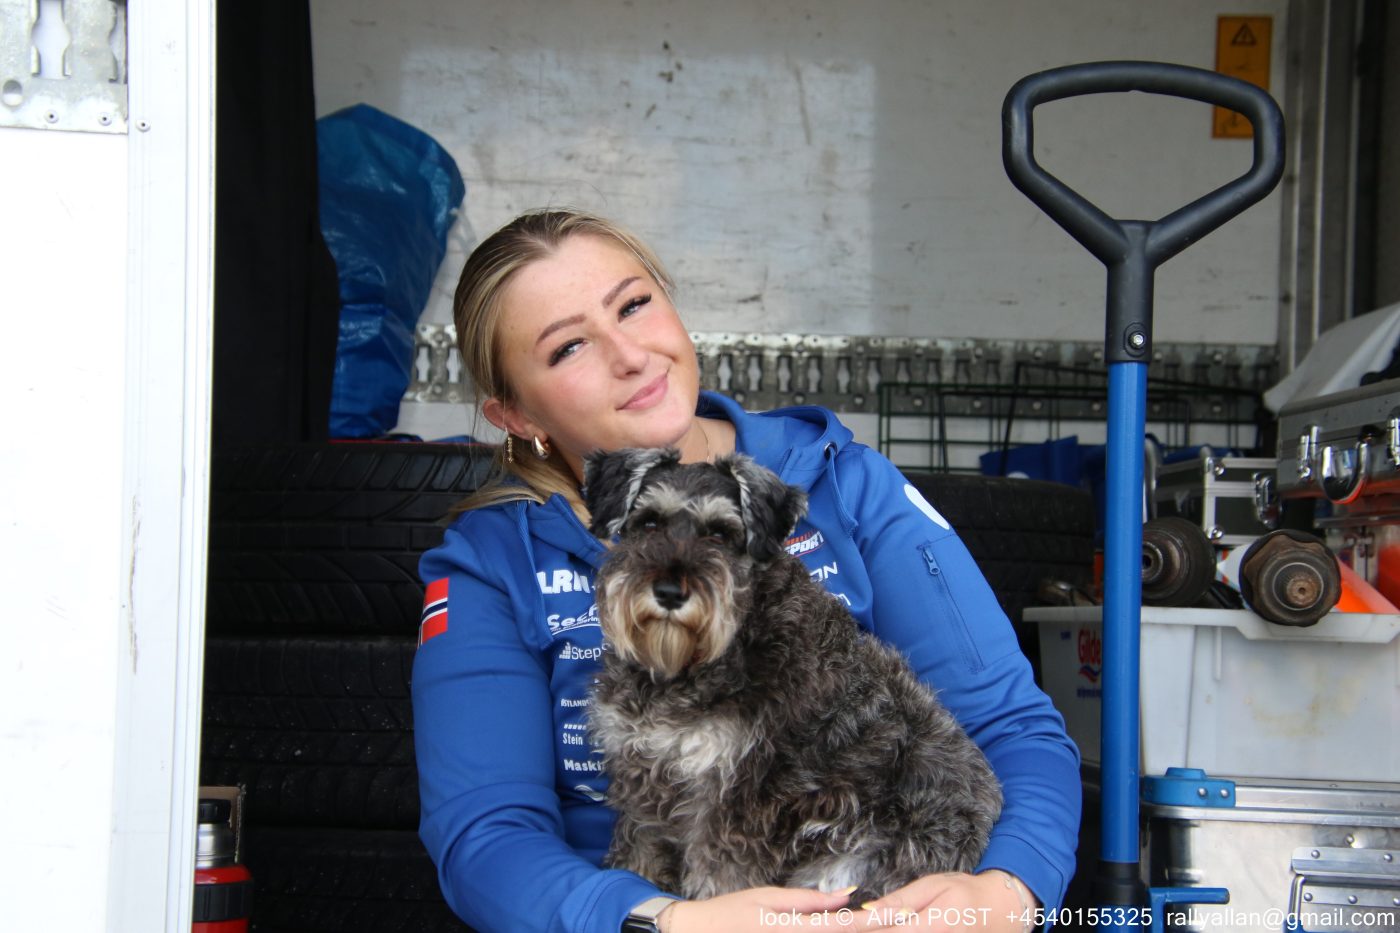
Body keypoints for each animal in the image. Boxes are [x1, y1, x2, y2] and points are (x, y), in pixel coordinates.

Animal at [582, 448, 1002, 901]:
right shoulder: (642, 777)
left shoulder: (733, 798)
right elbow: (637, 855)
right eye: (649, 523)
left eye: (721, 534)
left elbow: (721, 882)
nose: (670, 593)